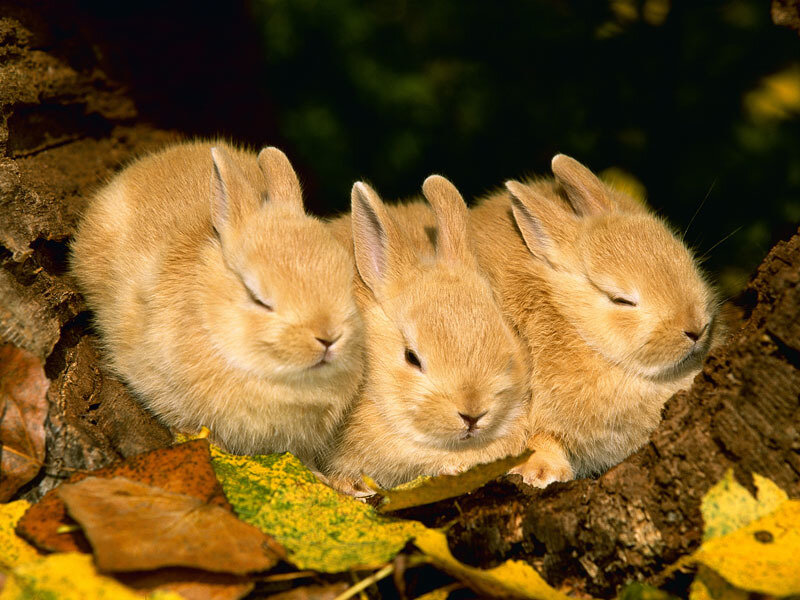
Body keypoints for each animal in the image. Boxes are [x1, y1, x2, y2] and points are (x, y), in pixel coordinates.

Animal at [469, 154, 719, 487]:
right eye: (621, 300)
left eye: (684, 258)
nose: (696, 329)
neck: (567, 320)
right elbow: (538, 439)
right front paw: (541, 473)